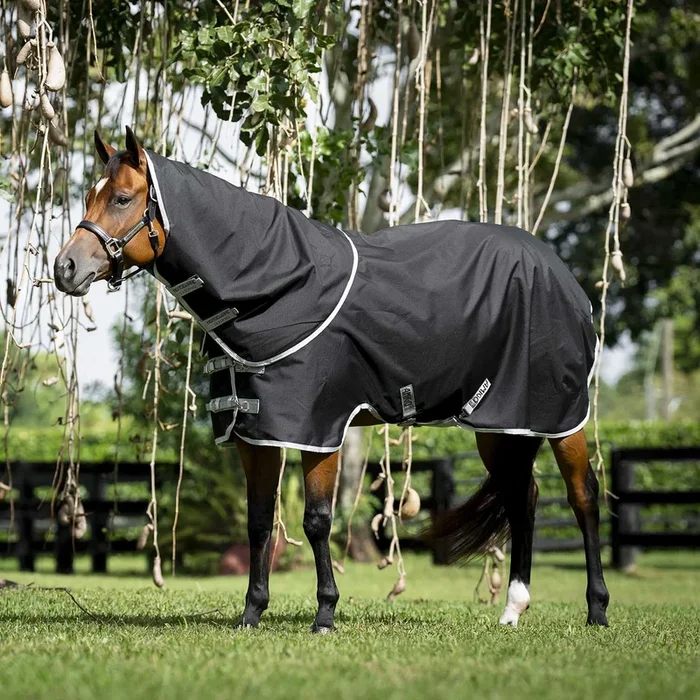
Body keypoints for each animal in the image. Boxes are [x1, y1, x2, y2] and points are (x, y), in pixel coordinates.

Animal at [53, 127, 609, 633]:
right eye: (89, 196)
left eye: (122, 198)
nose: (66, 268)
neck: (277, 284)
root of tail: (559, 271)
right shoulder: (256, 433)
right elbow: (260, 522)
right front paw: (251, 613)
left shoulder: (318, 429)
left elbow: (317, 520)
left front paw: (325, 614)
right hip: (501, 423)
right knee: (522, 498)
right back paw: (513, 608)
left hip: (560, 417)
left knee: (582, 497)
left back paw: (597, 610)